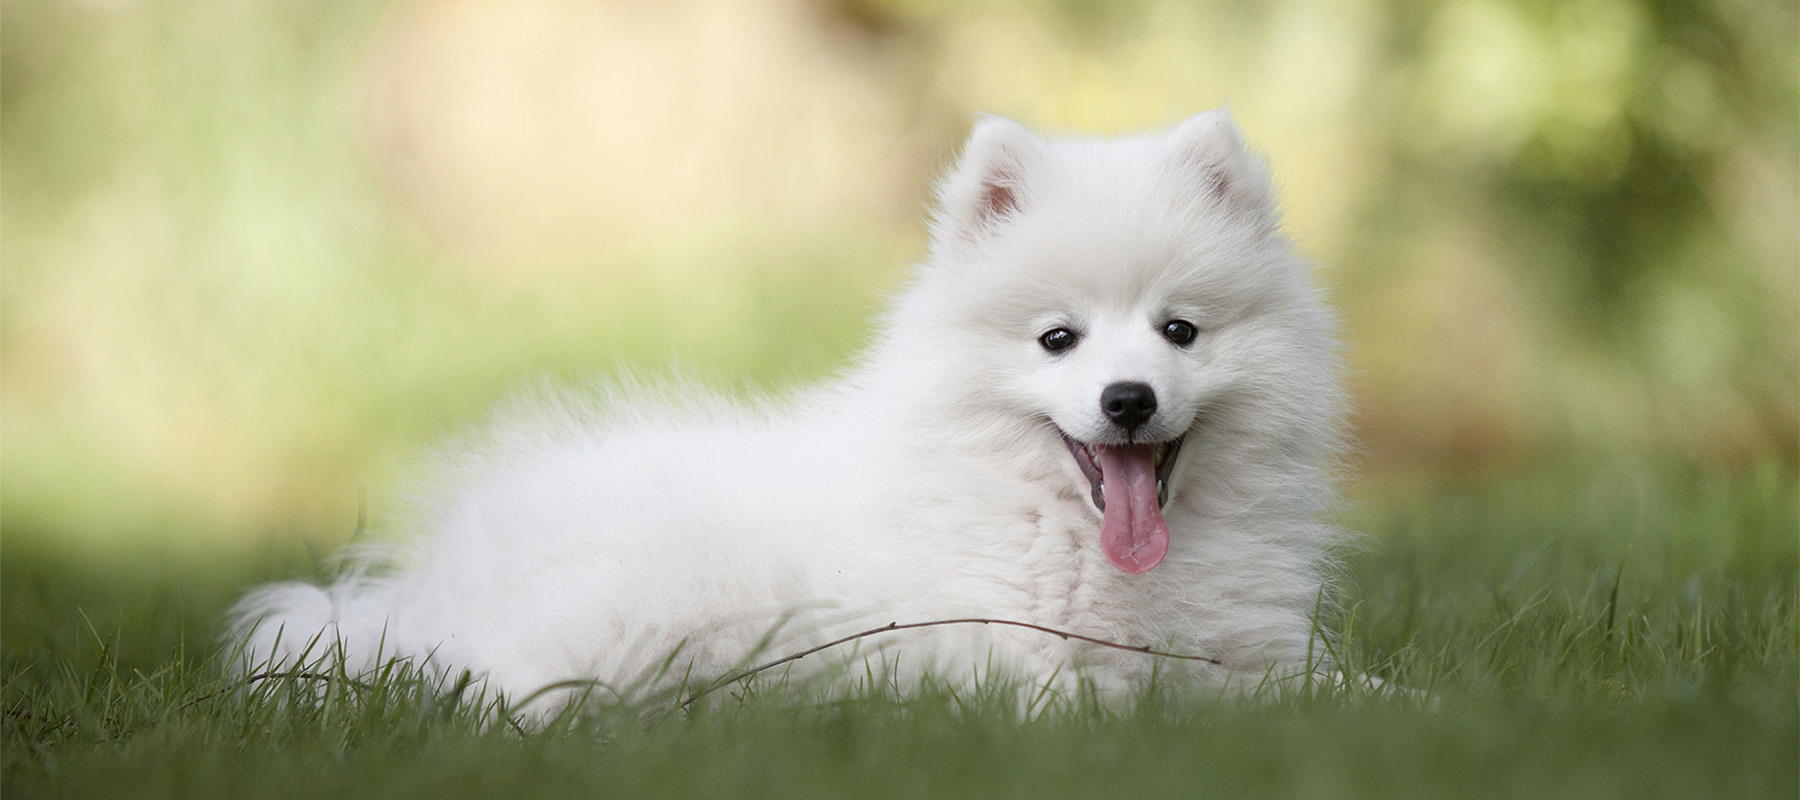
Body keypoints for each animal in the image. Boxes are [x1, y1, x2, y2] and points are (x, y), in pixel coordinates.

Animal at [232, 107, 1346, 713]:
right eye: (1057, 339)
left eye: (1180, 331)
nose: (1127, 399)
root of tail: (429, 586)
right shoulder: (1003, 651)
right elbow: (1097, 694)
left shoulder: (1258, 647)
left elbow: (1337, 688)